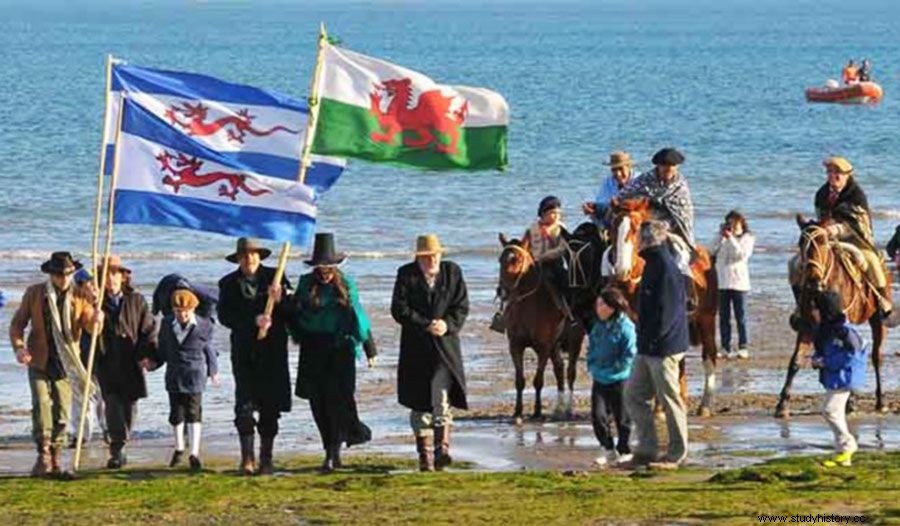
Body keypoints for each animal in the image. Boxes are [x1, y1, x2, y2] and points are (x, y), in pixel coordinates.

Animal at [496, 233, 588, 422]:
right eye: (500, 260)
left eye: (516, 259)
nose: (502, 291)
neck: (529, 306)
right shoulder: (515, 346)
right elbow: (520, 380)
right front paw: (518, 411)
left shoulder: (543, 347)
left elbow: (538, 380)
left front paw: (537, 411)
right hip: (555, 347)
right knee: (559, 370)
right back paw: (559, 408)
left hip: (575, 341)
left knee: (570, 372)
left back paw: (568, 409)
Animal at [600, 200, 720, 418]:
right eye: (612, 227)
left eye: (635, 228)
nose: (621, 269)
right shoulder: (638, 322)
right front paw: (657, 407)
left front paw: (659, 409)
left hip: (707, 317)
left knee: (709, 355)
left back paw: (705, 405)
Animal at [772, 217, 892, 418]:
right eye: (801, 242)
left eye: (823, 241)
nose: (813, 281)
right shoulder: (807, 326)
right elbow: (795, 361)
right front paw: (782, 404)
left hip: (878, 318)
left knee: (876, 357)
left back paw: (880, 401)